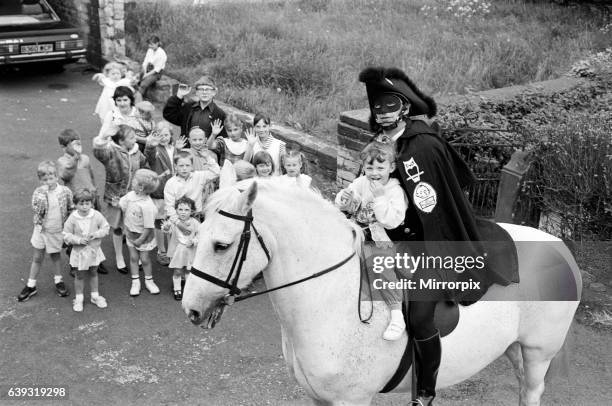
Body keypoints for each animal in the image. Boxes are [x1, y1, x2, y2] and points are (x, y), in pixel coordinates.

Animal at [180, 182, 580, 406]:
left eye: (221, 245)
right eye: (195, 238)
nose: (192, 310)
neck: (331, 300)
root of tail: (560, 247)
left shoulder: (351, 399)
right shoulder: (318, 397)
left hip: (538, 352)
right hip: (516, 349)